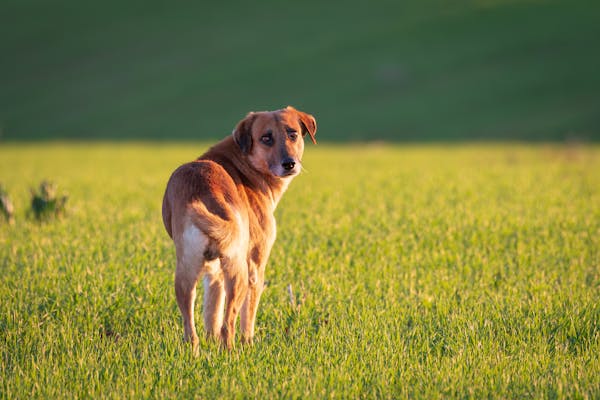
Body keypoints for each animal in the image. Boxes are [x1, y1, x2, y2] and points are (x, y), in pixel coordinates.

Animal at [162, 105, 316, 350]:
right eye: (266, 138)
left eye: (292, 134)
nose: (290, 163)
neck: (244, 163)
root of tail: (207, 190)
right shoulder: (256, 267)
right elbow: (247, 319)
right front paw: (248, 344)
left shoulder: (214, 272)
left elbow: (212, 314)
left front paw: (211, 342)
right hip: (240, 273)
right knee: (229, 325)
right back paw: (232, 353)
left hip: (186, 273)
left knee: (192, 329)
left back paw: (195, 353)